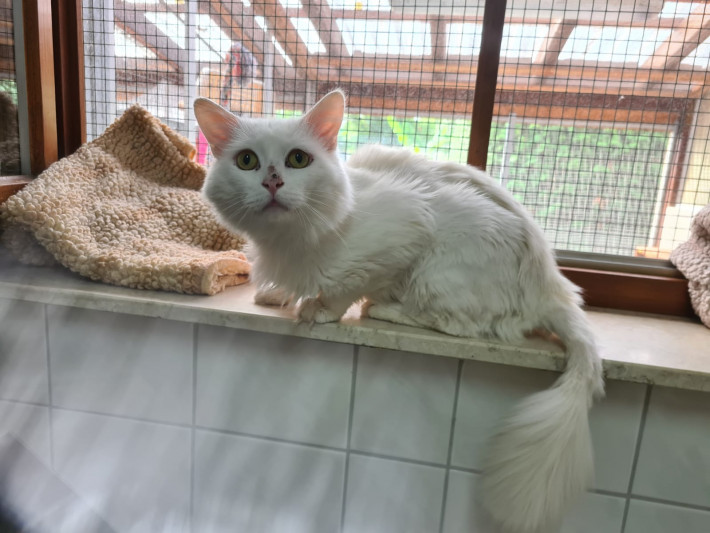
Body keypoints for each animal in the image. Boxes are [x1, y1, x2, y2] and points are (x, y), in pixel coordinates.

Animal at [194, 90, 605, 533]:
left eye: (298, 160)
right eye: (247, 161)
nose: (273, 181)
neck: (289, 240)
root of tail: (552, 286)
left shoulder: (401, 234)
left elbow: (343, 289)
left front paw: (319, 308)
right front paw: (276, 295)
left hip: (438, 270)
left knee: (459, 326)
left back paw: (382, 309)